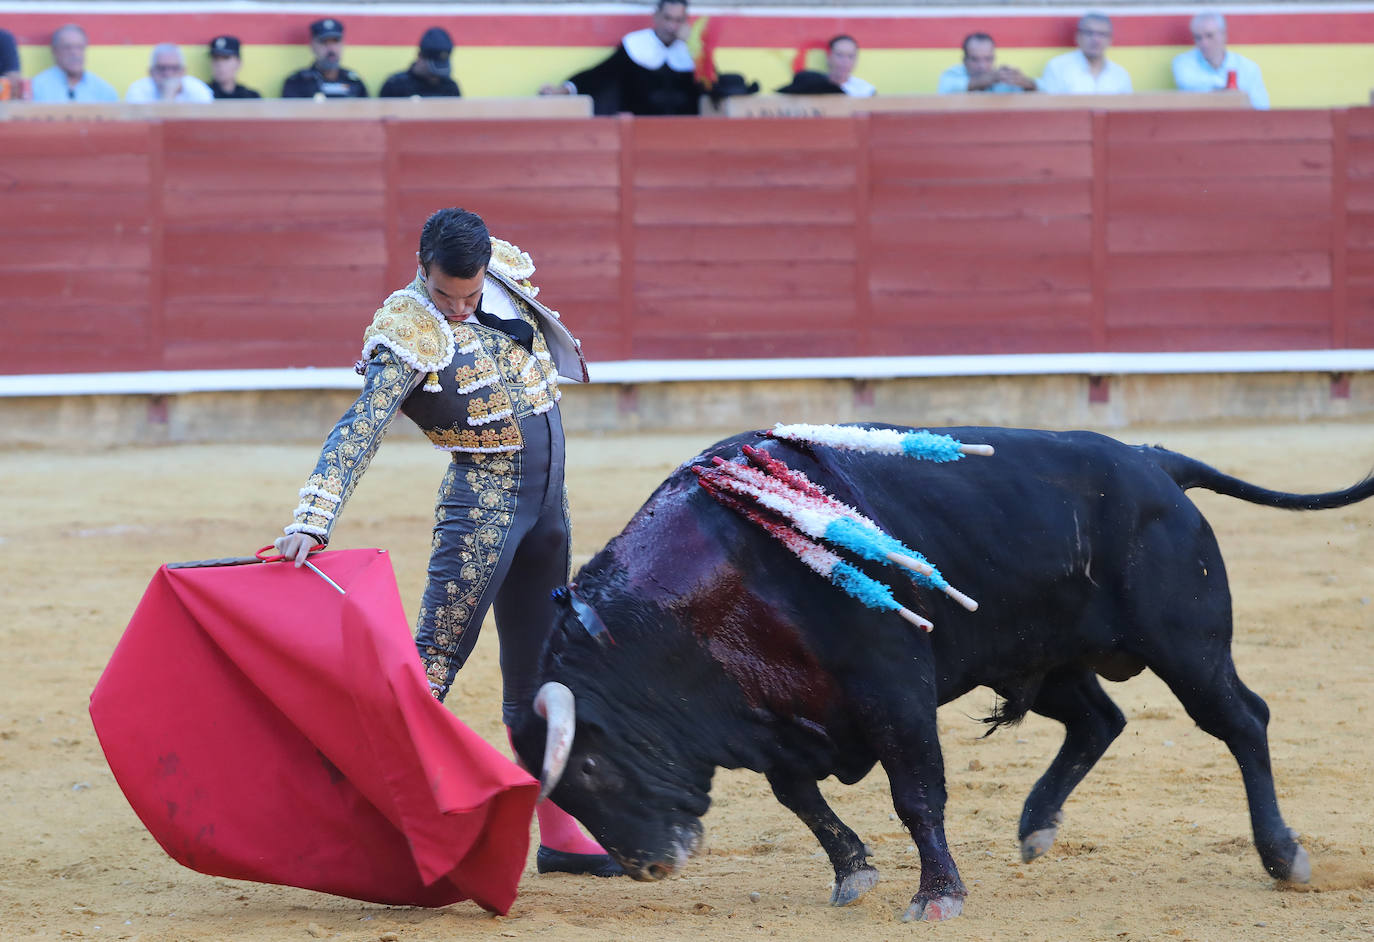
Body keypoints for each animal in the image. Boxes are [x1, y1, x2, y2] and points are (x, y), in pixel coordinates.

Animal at [516, 428, 1374, 922]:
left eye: (589, 767)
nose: (648, 868)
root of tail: (1153, 462)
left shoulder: (893, 689)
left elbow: (916, 793)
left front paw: (937, 896)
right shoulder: (779, 716)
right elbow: (800, 798)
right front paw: (853, 874)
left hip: (1187, 645)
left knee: (1242, 721)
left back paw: (1284, 857)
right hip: (1039, 653)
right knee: (1100, 719)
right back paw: (1037, 826)